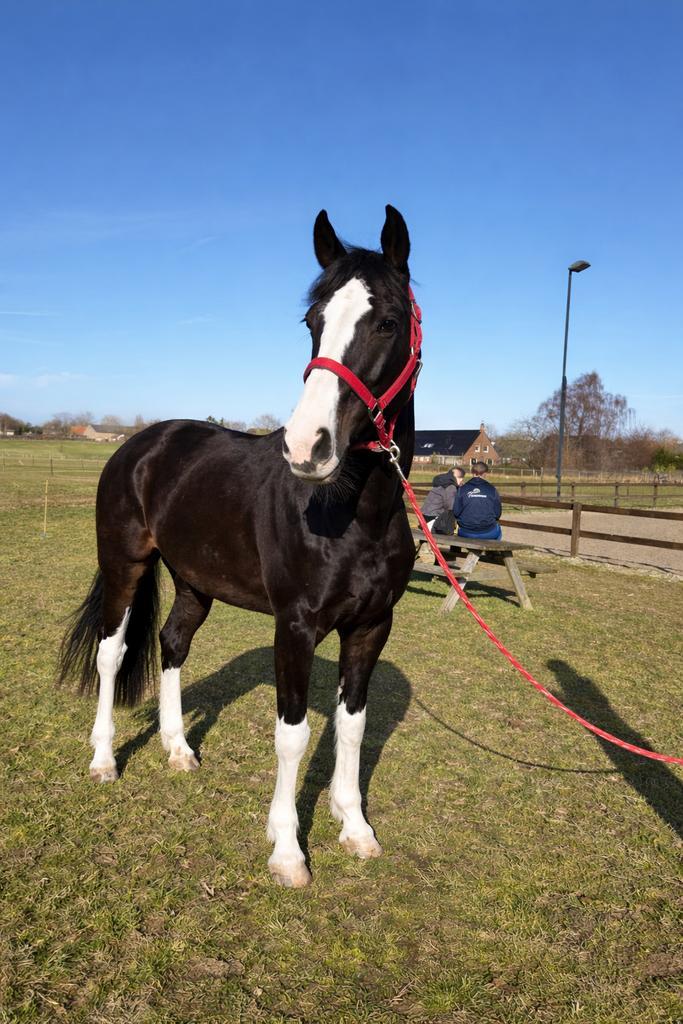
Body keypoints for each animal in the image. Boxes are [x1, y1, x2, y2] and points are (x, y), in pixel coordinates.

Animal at [58, 205, 420, 888]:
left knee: (171, 644)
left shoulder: (370, 626)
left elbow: (352, 727)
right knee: (113, 652)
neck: (354, 512)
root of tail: (139, 445)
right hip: (124, 565)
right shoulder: (296, 627)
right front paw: (287, 849)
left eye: (388, 321)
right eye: (312, 321)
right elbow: (294, 734)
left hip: (195, 583)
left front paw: (355, 827)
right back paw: (103, 760)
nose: (307, 447)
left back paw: (177, 748)